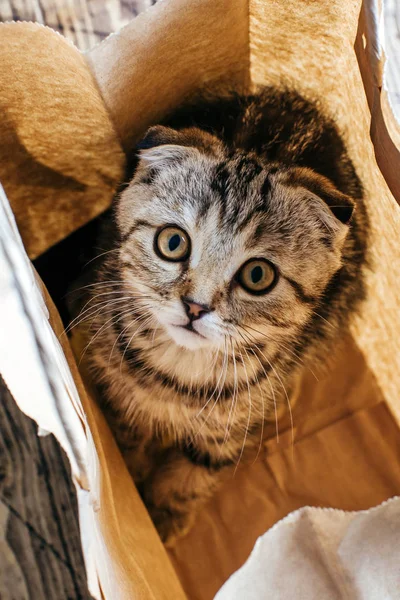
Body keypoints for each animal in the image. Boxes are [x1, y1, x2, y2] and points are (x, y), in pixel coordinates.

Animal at [81, 88, 368, 544]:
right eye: (173, 242)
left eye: (258, 275)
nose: (196, 307)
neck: (181, 374)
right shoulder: (117, 387)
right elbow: (128, 439)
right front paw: (138, 491)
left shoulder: (234, 424)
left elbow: (198, 468)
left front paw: (164, 514)